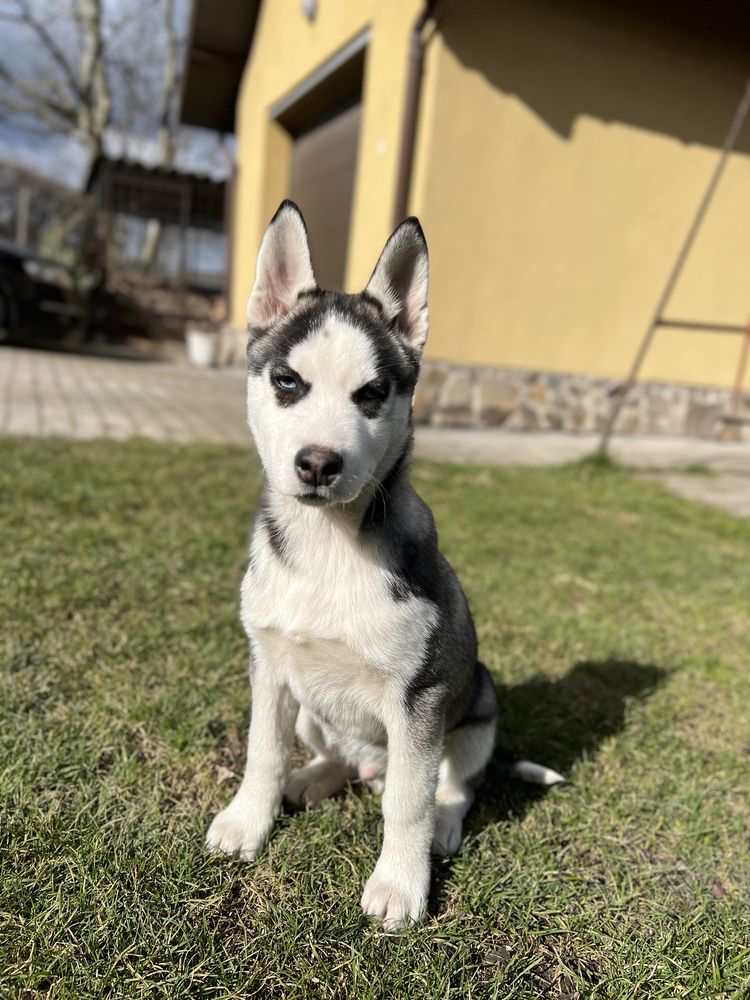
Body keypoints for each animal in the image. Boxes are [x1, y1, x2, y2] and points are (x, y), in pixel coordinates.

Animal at [207, 201, 564, 928]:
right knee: (338, 757)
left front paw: (401, 885)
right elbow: (262, 752)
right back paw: (311, 778)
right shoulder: (269, 663)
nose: (318, 463)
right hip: (314, 707)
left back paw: (444, 826)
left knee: (450, 784)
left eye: (371, 393)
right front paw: (246, 822)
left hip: (478, 704)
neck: (328, 545)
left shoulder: (418, 698)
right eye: (287, 382)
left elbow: (408, 801)